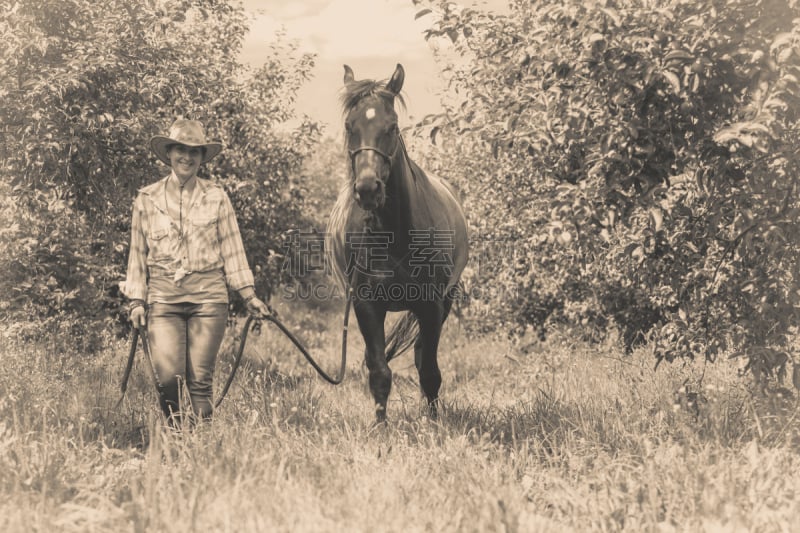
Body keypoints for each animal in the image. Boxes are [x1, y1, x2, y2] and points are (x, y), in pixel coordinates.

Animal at [324, 62, 468, 422]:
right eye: (349, 126)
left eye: (391, 126)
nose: (367, 189)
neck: (394, 234)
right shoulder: (366, 305)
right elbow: (378, 371)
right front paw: (380, 426)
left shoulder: (431, 305)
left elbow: (429, 371)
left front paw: (433, 422)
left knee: (421, 355)